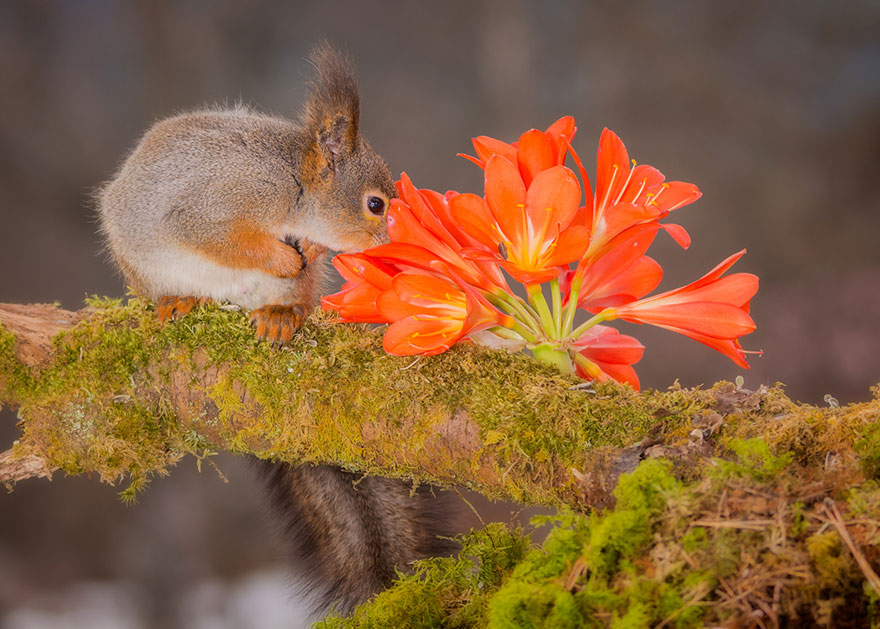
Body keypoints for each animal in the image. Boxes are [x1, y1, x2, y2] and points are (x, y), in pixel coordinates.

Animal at [97, 45, 458, 616]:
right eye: (376, 204)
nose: (397, 246)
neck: (293, 186)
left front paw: (306, 251)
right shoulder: (213, 207)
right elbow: (225, 240)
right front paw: (283, 255)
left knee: (291, 301)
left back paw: (281, 314)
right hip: (140, 260)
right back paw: (179, 301)